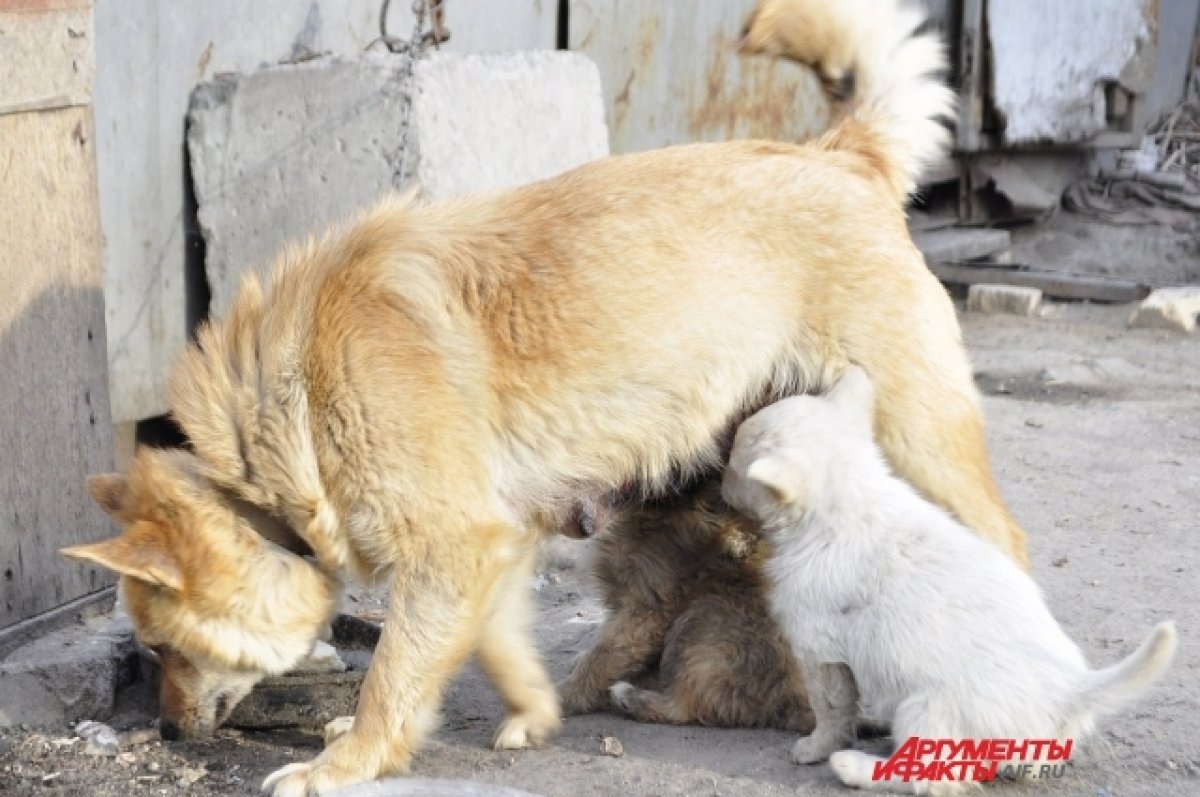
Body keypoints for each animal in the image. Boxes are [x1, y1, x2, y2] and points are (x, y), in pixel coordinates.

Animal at [556, 480, 811, 734]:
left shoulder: (647, 607)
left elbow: (603, 657)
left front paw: (564, 695)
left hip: (708, 615)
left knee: (693, 703)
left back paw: (633, 698)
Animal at [720, 364, 1180, 792]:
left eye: (735, 465)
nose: (719, 481)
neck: (850, 502)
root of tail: (1071, 689)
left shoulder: (819, 651)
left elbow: (831, 709)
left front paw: (815, 748)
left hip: (926, 710)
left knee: (928, 777)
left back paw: (853, 766)